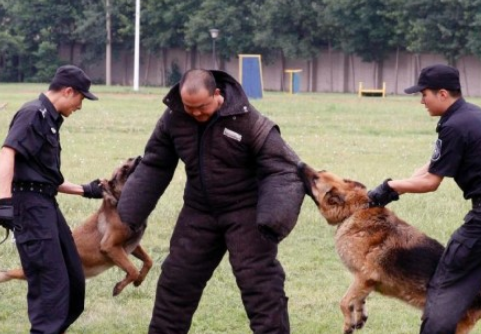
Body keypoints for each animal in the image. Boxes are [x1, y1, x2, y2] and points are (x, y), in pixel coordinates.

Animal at [0, 158, 152, 296]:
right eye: (125, 168)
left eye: (131, 159)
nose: (140, 158)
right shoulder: (110, 246)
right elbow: (132, 270)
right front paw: (120, 287)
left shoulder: (131, 246)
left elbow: (148, 261)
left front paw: (139, 280)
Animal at [296, 162, 480, 334]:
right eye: (320, 172)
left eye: (315, 179)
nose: (299, 163)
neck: (354, 211)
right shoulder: (365, 281)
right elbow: (358, 299)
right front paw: (359, 316)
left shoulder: (363, 276)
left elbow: (344, 302)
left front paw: (348, 323)